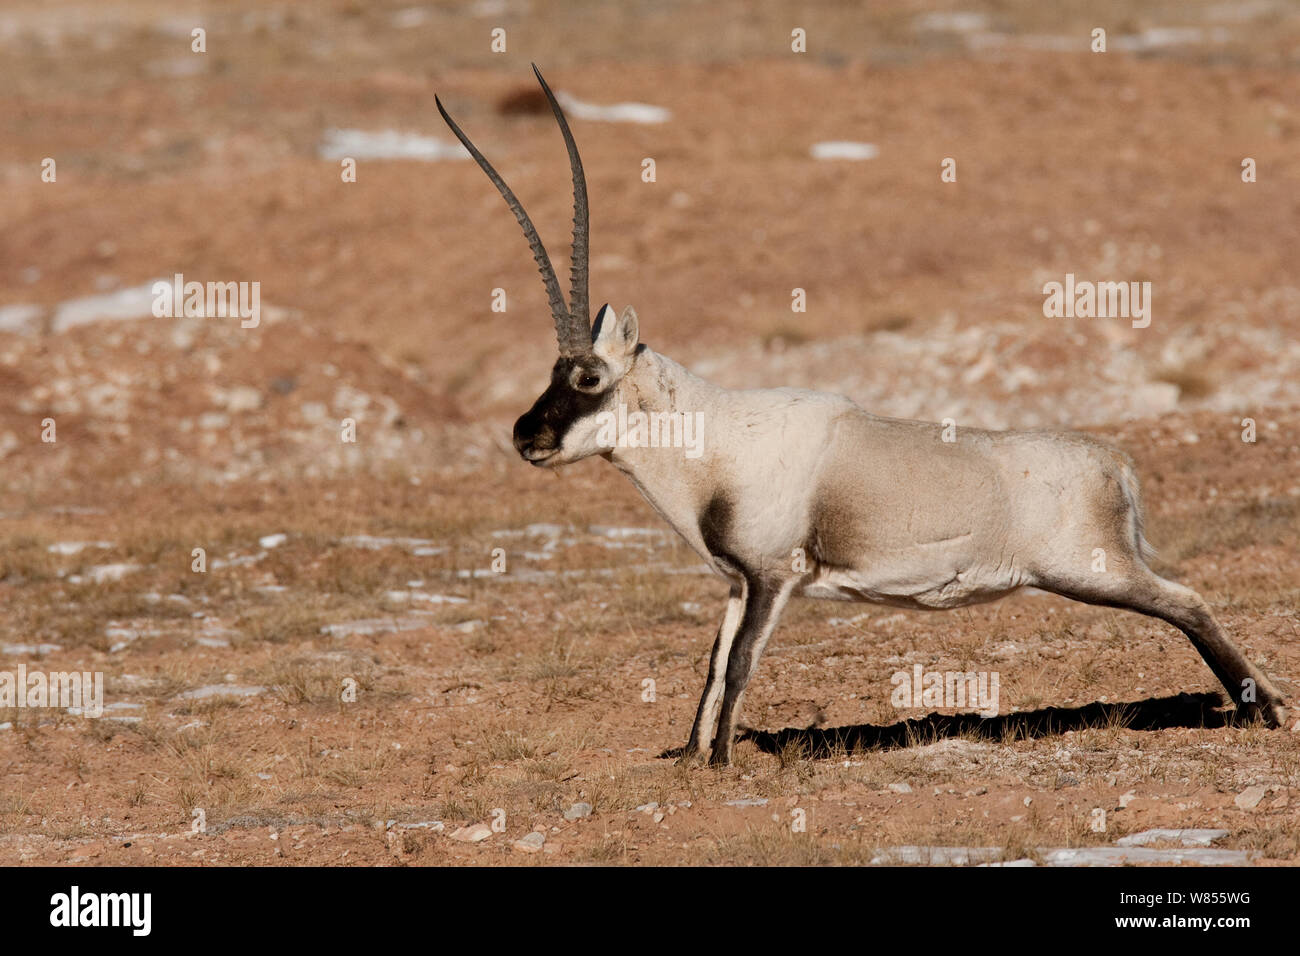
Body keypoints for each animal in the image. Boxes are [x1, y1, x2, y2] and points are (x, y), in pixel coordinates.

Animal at [436, 67, 1289, 764]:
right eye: (551, 373)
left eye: (587, 374)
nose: (525, 435)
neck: (712, 435)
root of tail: (1115, 462)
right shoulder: (736, 582)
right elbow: (709, 663)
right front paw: (690, 757)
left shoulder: (773, 577)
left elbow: (739, 663)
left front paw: (723, 764)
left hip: (1090, 570)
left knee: (1188, 601)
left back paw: (1267, 711)